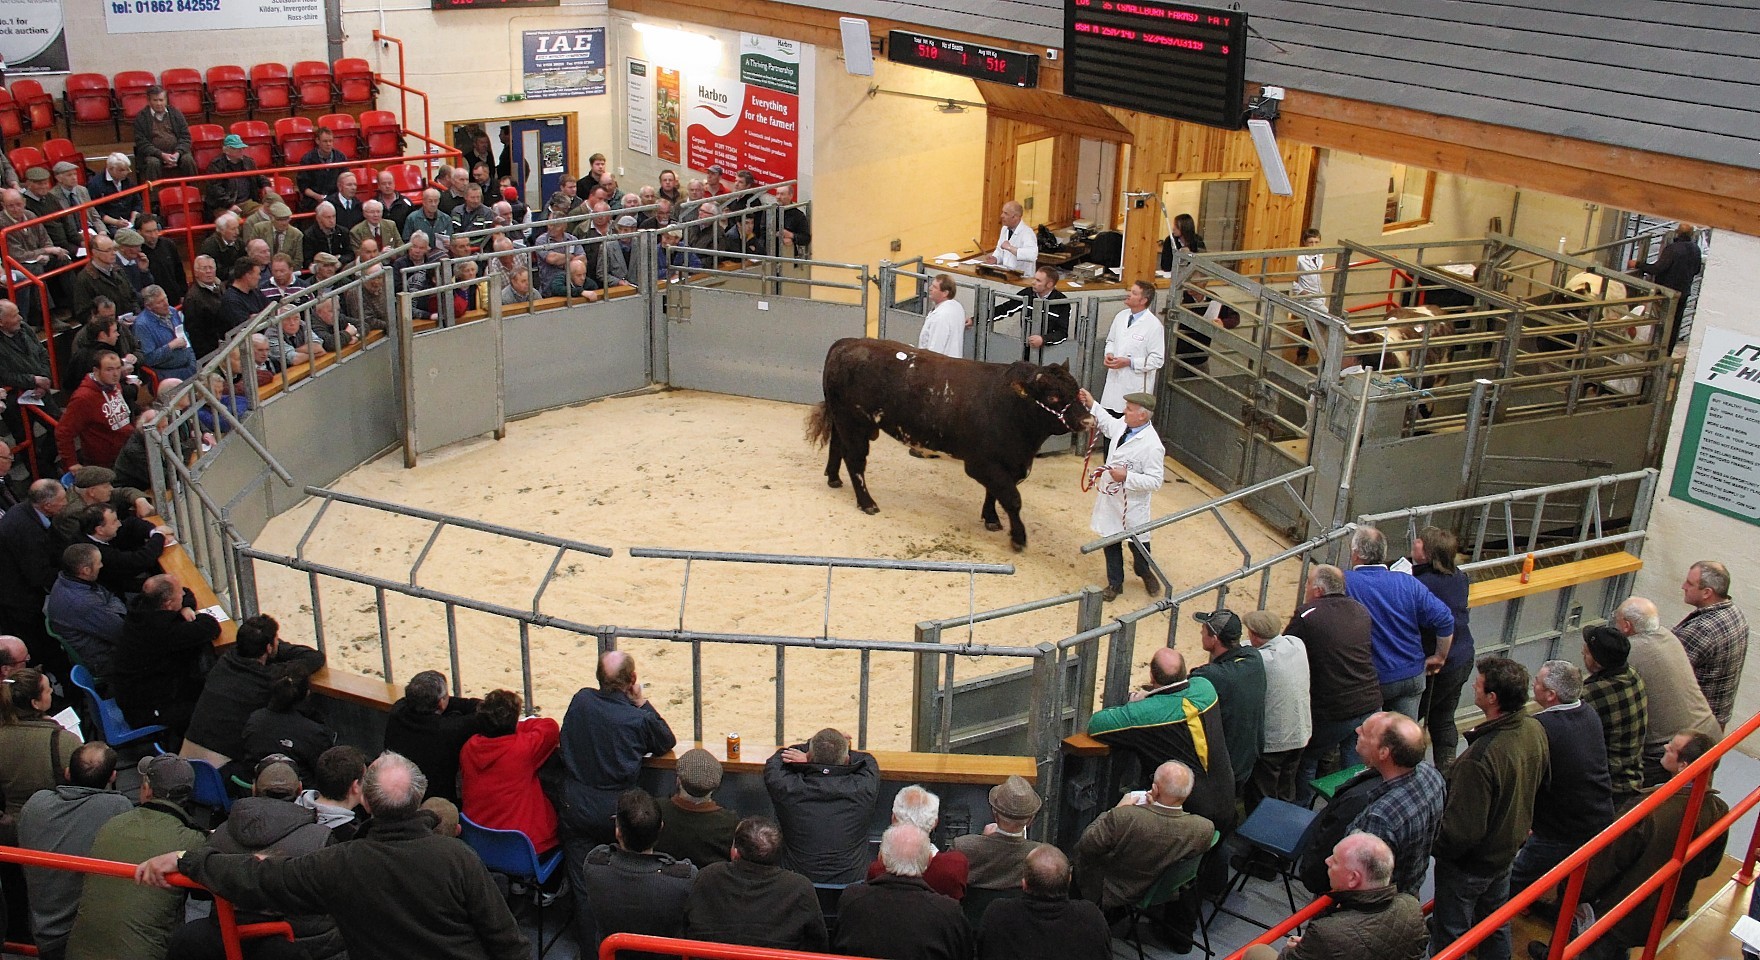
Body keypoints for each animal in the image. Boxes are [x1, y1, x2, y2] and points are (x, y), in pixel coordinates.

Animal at [806, 336, 1084, 549]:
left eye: (1077, 391)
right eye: (1053, 396)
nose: (1088, 419)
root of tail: (848, 342)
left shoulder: (1007, 464)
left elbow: (995, 493)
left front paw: (991, 519)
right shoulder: (981, 464)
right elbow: (1012, 499)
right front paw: (1018, 538)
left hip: (842, 420)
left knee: (836, 445)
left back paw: (834, 478)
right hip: (854, 424)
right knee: (855, 461)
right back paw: (868, 503)